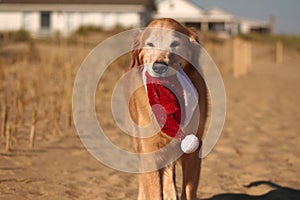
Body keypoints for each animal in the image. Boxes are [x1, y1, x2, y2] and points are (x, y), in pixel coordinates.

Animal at [127, 18, 209, 199]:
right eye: (150, 44)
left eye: (175, 43)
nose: (159, 67)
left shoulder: (193, 149)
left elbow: (188, 190)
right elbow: (153, 190)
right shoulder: (149, 149)